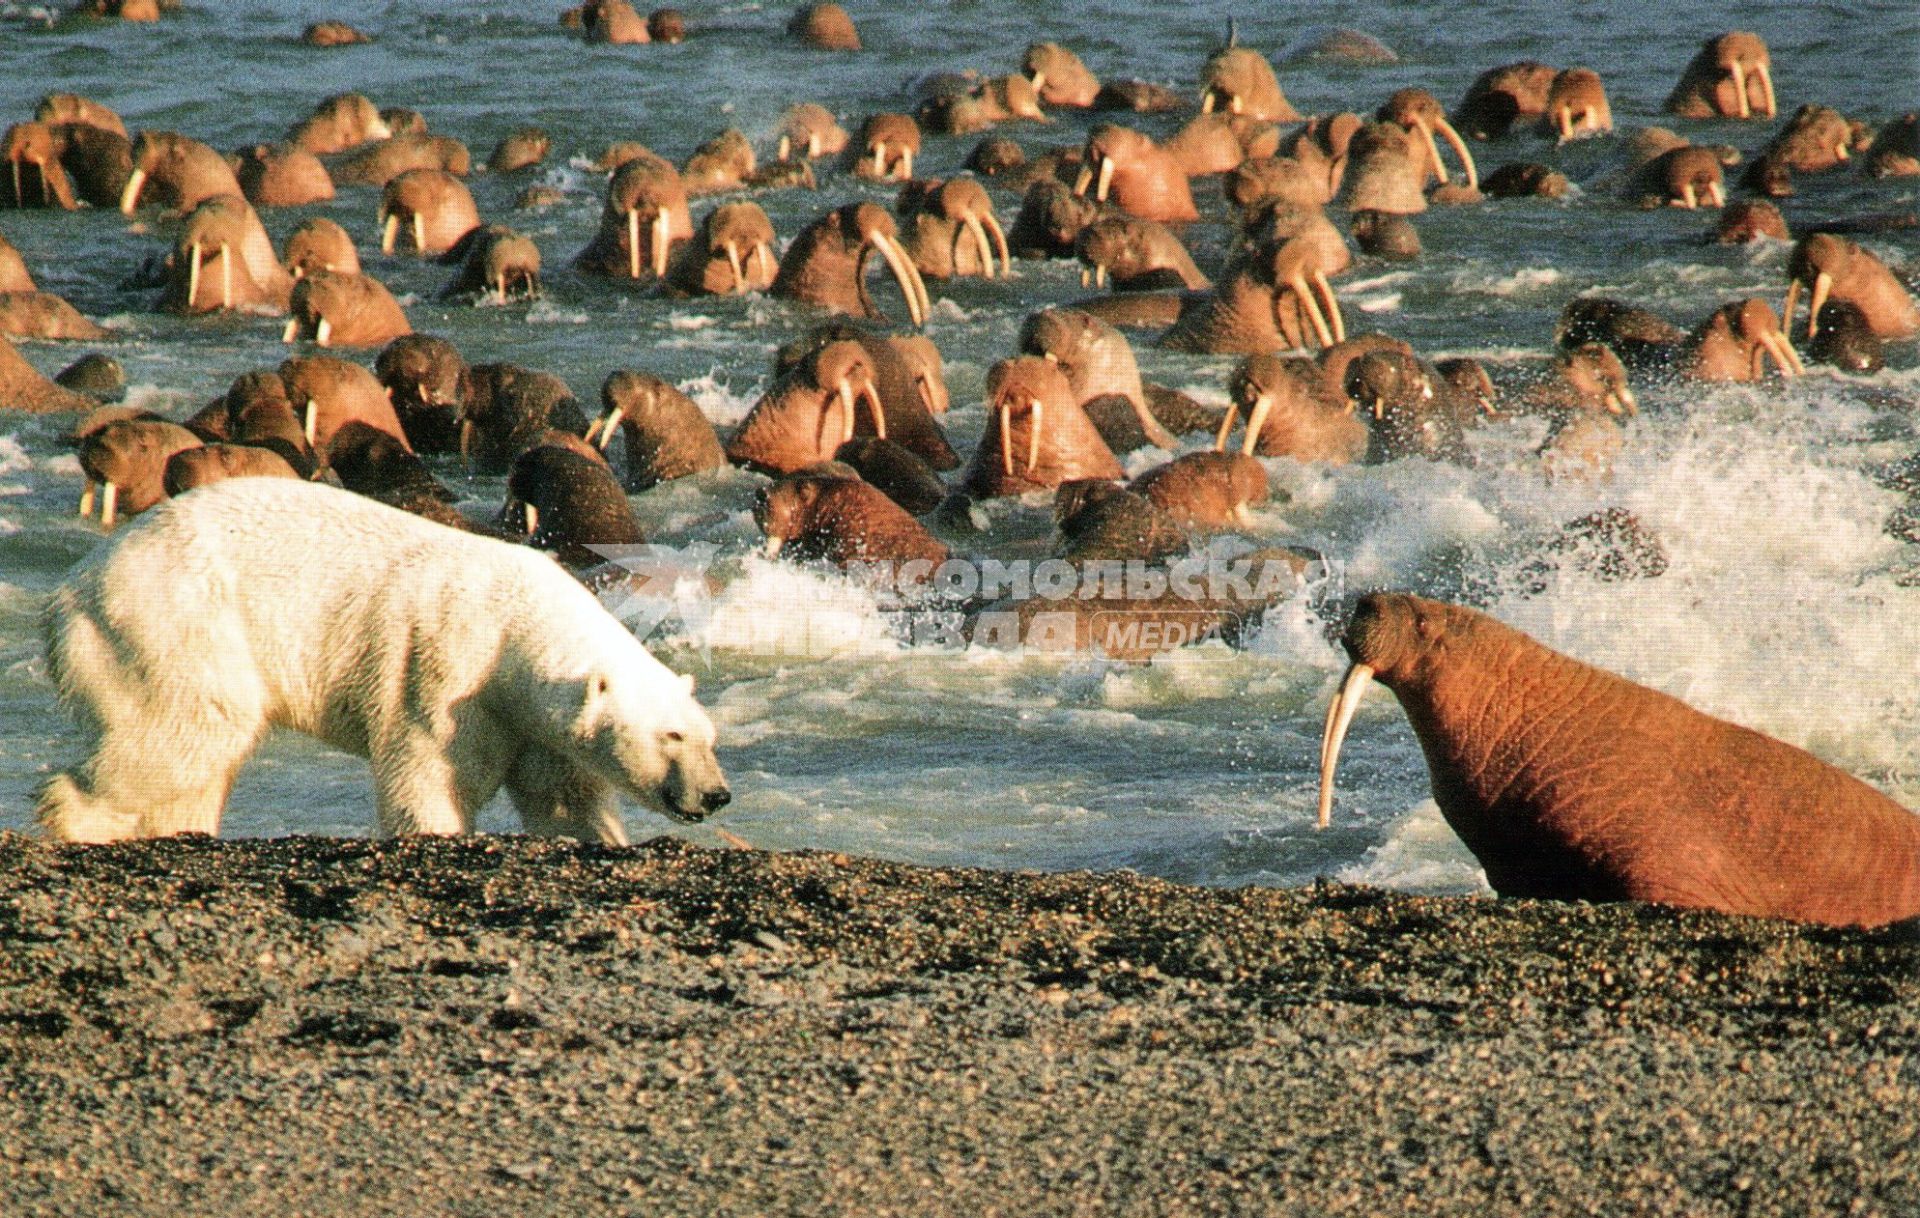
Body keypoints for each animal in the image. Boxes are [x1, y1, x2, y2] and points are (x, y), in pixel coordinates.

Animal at [37, 476, 725, 845]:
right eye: (671, 736)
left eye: (708, 736)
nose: (717, 795)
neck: (515, 622)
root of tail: (68, 589)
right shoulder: (450, 669)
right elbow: (431, 775)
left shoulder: (533, 720)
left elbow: (561, 796)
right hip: (176, 622)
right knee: (189, 728)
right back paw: (80, 823)